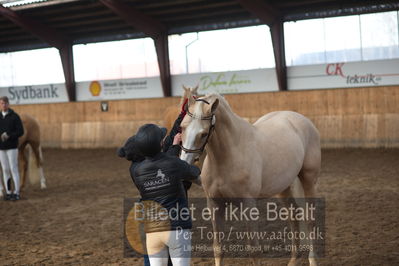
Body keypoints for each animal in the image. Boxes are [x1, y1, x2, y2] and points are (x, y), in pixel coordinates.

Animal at [180, 92, 322, 264]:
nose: (184, 163)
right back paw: (293, 261)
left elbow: (254, 250)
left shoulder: (248, 206)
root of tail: (302, 119)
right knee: (293, 218)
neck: (228, 156)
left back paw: (312, 260)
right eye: (182, 127)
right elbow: (218, 248)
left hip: (309, 179)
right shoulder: (214, 204)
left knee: (309, 219)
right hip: (283, 188)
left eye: (203, 134)